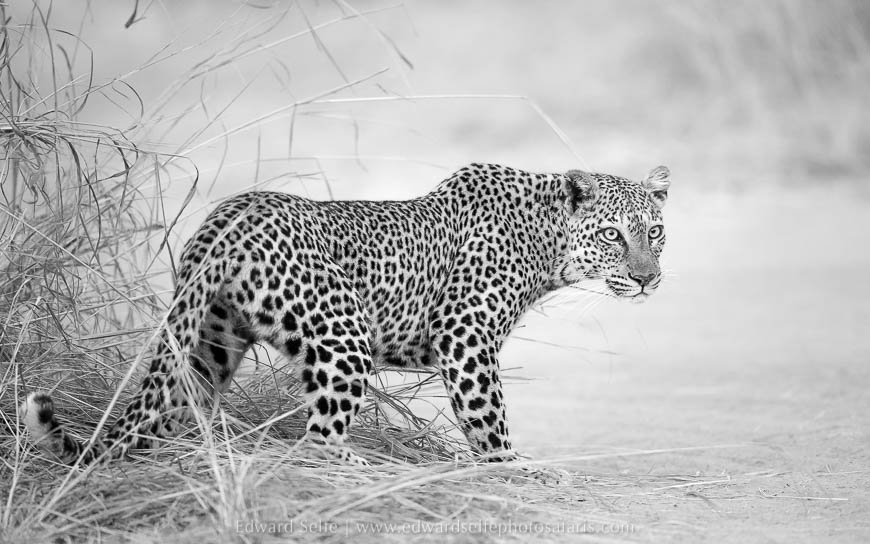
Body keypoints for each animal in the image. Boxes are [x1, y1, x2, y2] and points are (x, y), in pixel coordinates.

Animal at [22, 162, 671, 471]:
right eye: (614, 235)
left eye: (656, 232)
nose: (647, 279)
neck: (548, 240)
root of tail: (231, 212)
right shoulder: (465, 337)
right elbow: (489, 419)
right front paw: (516, 470)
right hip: (343, 332)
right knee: (316, 441)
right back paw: (365, 467)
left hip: (210, 337)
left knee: (178, 404)